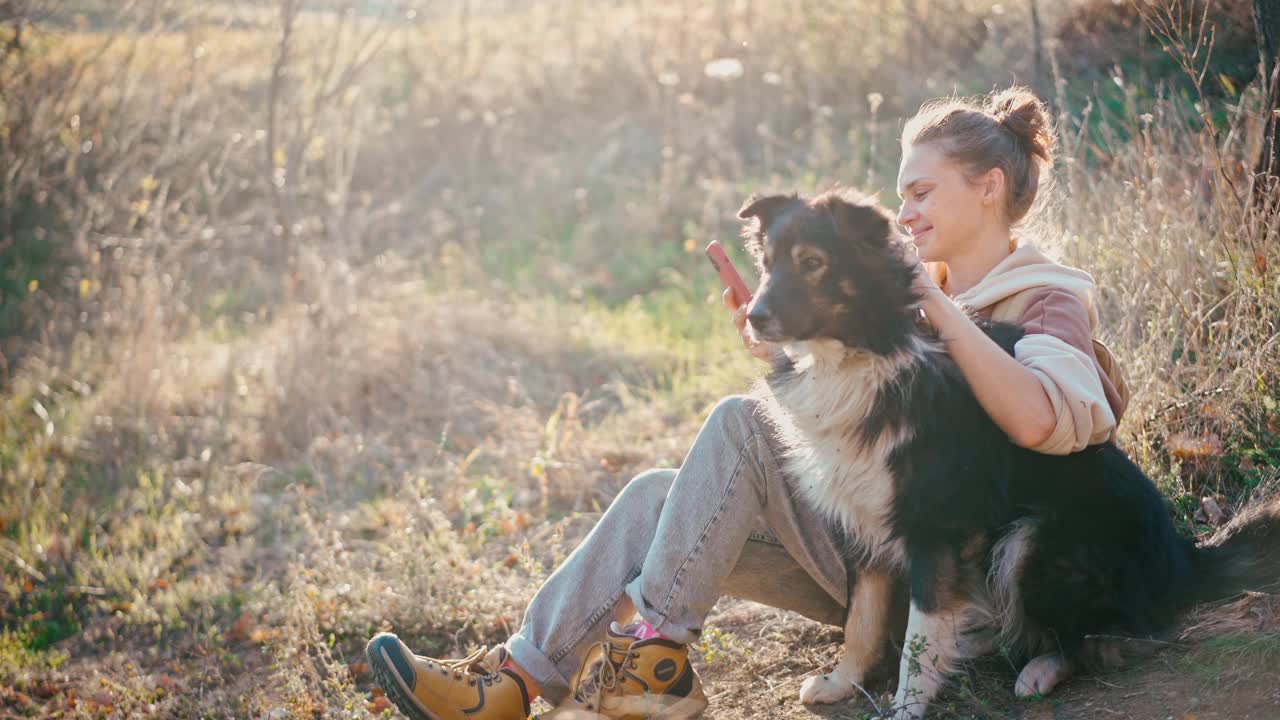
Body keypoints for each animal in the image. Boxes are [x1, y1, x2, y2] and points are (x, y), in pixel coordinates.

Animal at [742, 188, 1280, 712]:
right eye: (767, 264)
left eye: (812, 262)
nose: (752, 318)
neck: (867, 350)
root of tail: (1186, 560)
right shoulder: (862, 517)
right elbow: (862, 619)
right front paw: (842, 682)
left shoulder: (937, 526)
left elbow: (918, 641)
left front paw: (905, 706)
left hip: (1035, 540)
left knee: (1111, 637)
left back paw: (1041, 668)